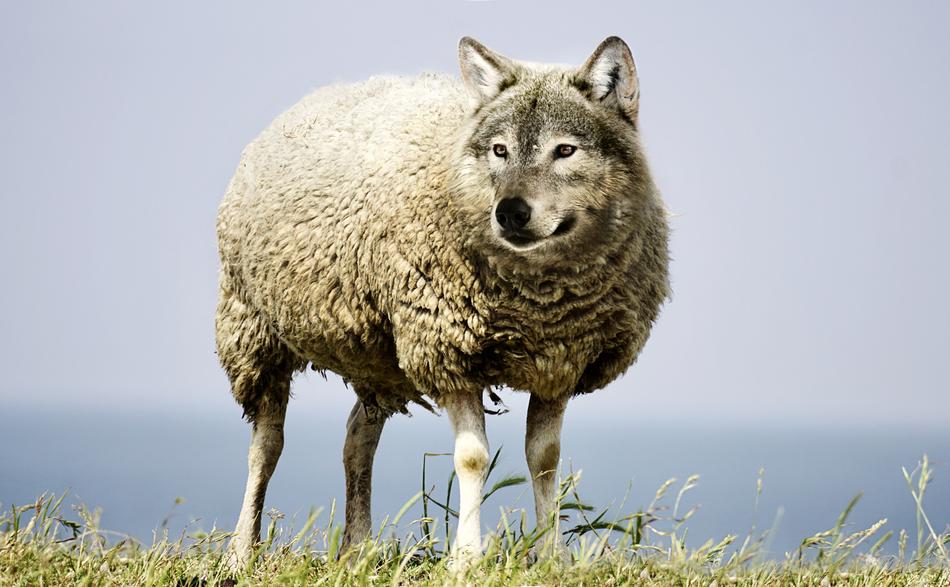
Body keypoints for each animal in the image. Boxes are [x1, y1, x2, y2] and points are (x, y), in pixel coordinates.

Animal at [215, 36, 670, 569]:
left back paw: (357, 550)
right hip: (252, 329)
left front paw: (550, 556)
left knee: (357, 439)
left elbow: (544, 459)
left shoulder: (560, 362)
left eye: (565, 150)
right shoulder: (447, 351)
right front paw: (468, 559)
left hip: (379, 358)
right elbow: (473, 458)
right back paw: (241, 552)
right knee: (266, 445)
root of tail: (320, 93)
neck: (538, 302)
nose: (510, 212)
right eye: (499, 150)